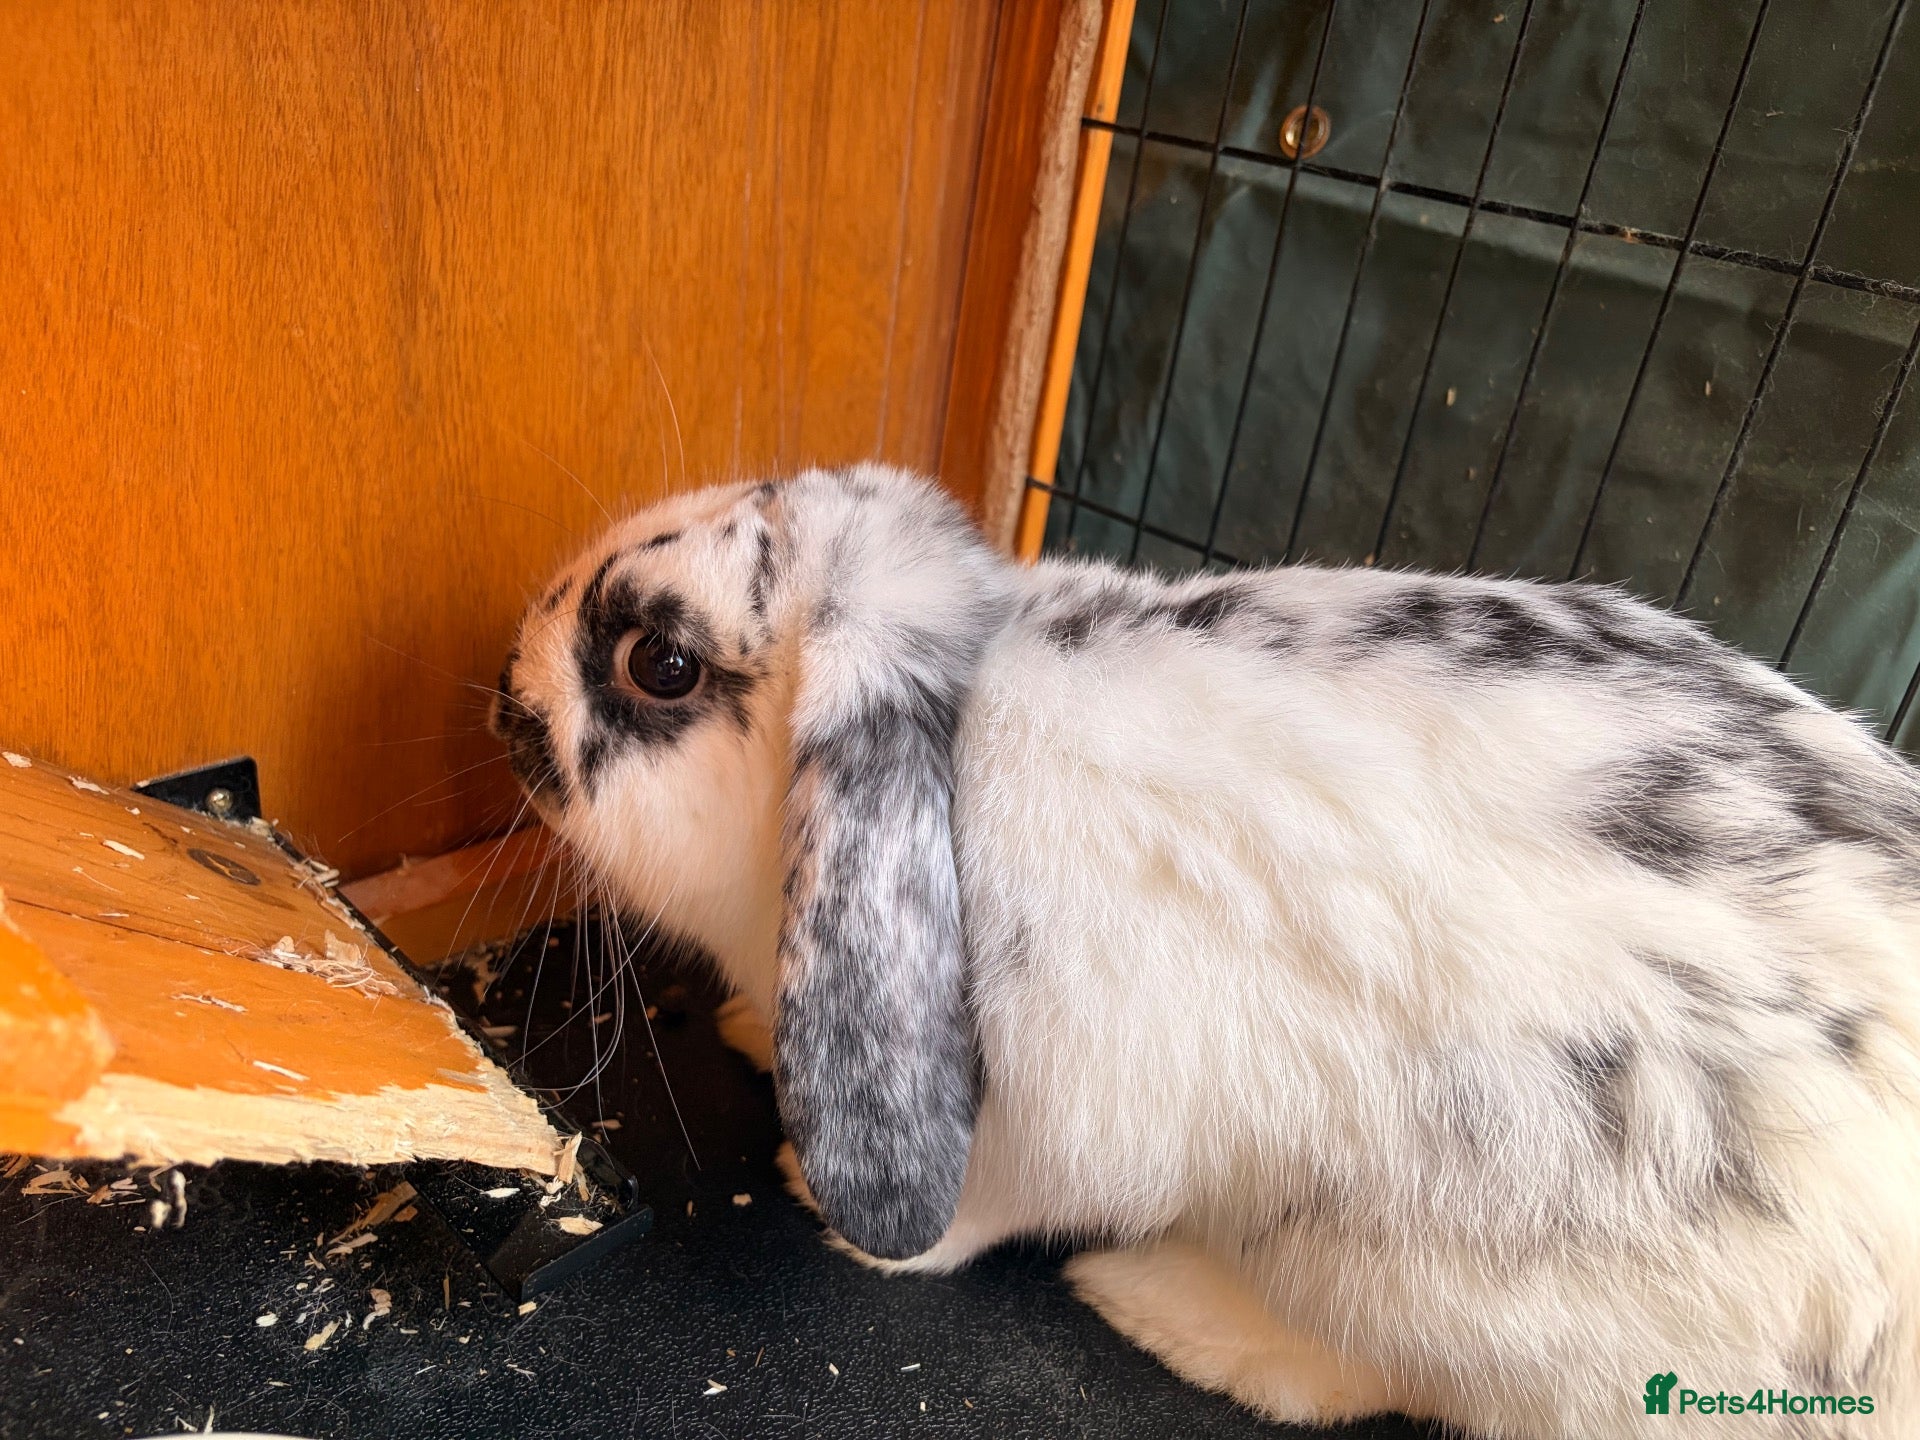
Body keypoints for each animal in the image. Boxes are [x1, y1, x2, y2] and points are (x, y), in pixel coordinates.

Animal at [492, 462, 1920, 1439]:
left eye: (662, 663)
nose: (504, 703)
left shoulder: (1055, 1111)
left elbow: (981, 1210)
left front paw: (830, 1209)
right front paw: (749, 1032)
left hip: (1439, 1282)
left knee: (1386, 1379)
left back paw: (1167, 1307)